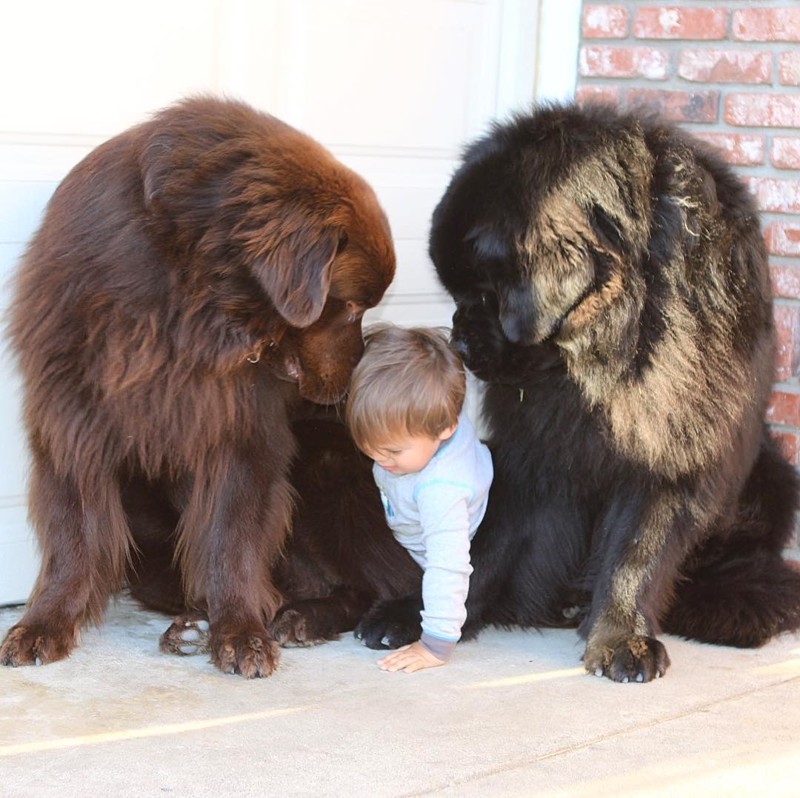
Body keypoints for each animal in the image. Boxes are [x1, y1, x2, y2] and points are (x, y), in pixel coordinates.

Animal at [1, 97, 396, 680]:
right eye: (347, 306)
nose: (349, 386)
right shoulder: (72, 416)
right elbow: (74, 532)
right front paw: (44, 623)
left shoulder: (242, 431)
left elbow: (230, 536)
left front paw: (240, 633)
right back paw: (199, 622)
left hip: (323, 464)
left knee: (366, 585)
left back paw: (301, 618)